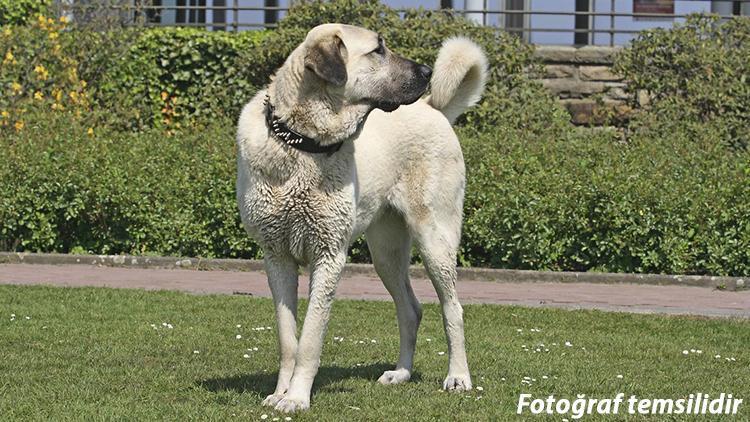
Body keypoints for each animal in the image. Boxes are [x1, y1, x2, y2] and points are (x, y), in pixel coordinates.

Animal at [238, 22, 490, 412]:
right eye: (378, 50)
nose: (426, 72)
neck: (303, 144)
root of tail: (432, 108)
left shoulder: (329, 256)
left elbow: (310, 337)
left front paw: (296, 398)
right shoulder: (276, 257)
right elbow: (288, 338)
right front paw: (280, 393)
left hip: (435, 240)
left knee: (453, 309)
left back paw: (458, 377)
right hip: (385, 254)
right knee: (411, 309)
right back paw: (401, 374)